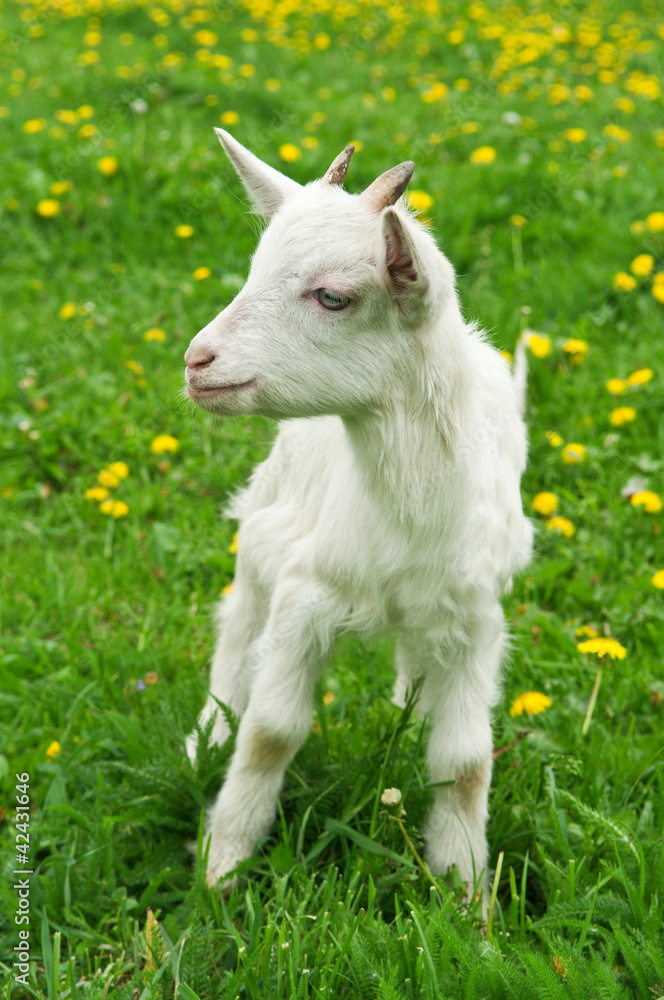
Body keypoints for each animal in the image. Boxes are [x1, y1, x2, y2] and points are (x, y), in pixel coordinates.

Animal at [183, 130, 533, 896]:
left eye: (332, 296)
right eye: (255, 267)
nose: (197, 361)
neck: (408, 519)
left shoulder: (475, 621)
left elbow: (465, 762)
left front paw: (465, 889)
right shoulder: (304, 593)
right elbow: (271, 731)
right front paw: (222, 865)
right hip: (265, 525)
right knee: (237, 630)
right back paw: (206, 739)